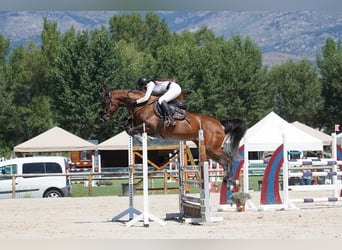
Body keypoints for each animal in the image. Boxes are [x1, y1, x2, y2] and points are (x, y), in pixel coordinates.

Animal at [99, 88, 246, 188]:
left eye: (105, 102)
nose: (102, 118)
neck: (141, 105)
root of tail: (220, 124)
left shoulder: (150, 128)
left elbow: (131, 130)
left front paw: (144, 139)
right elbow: (128, 128)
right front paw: (141, 138)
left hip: (212, 148)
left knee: (228, 159)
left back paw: (231, 181)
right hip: (208, 149)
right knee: (224, 161)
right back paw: (228, 181)